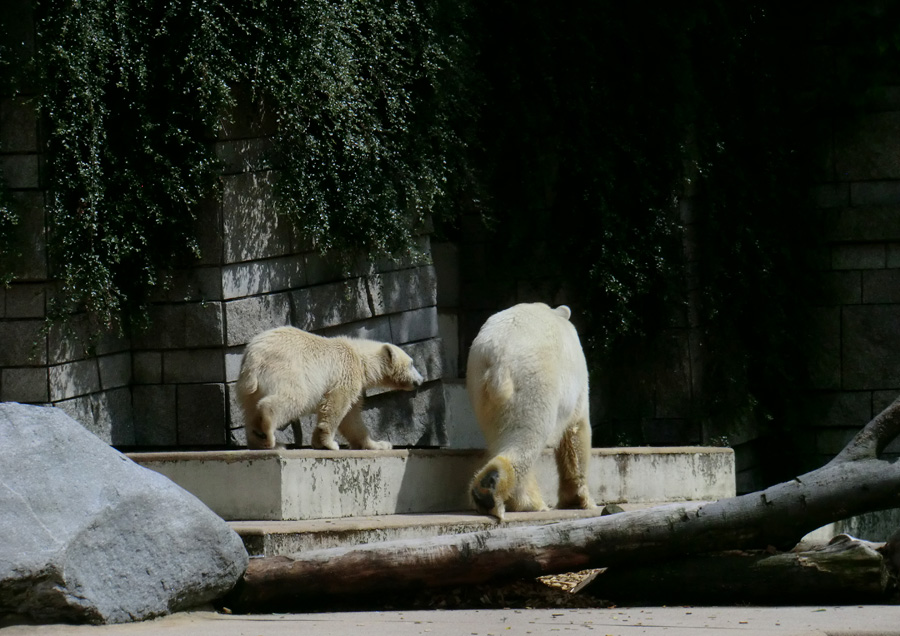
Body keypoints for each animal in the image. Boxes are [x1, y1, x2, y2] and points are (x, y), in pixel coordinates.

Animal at [237, 328, 424, 452]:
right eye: (412, 363)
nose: (421, 380)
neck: (360, 358)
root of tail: (254, 355)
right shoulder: (346, 372)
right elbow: (336, 404)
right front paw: (329, 443)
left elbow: (352, 419)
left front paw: (379, 444)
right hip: (287, 368)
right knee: (294, 398)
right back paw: (270, 433)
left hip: (249, 387)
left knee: (249, 409)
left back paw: (259, 440)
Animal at [468, 300, 596, 520]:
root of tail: (499, 358)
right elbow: (576, 431)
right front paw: (580, 500)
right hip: (534, 382)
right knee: (528, 435)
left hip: (480, 385)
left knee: (501, 437)